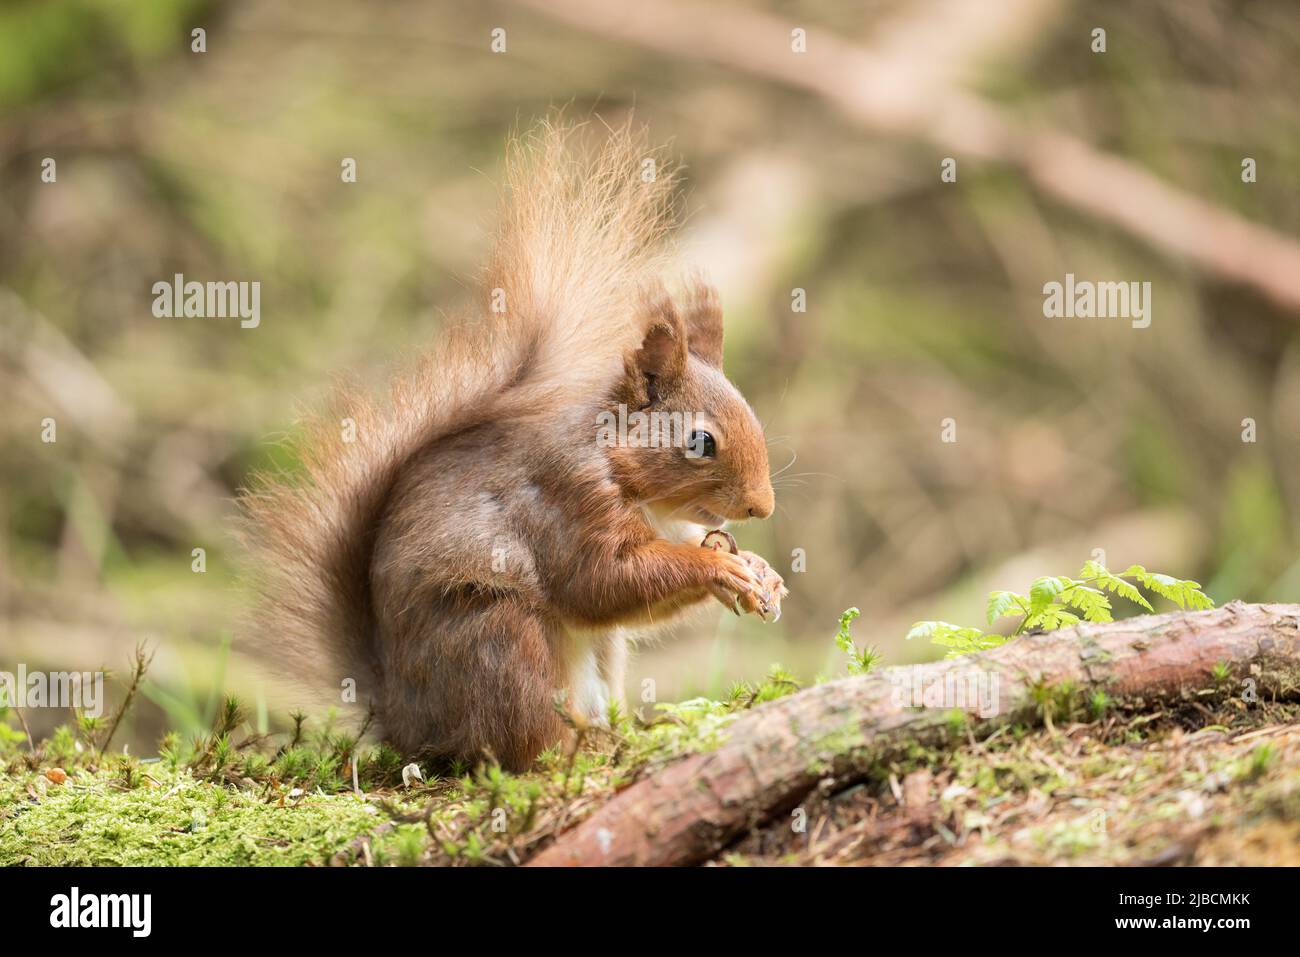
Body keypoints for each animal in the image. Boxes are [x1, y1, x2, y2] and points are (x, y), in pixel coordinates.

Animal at [239, 119, 786, 771]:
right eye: (701, 441)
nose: (762, 507)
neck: (616, 464)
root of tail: (406, 723)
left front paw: (760, 571)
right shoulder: (567, 500)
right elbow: (602, 581)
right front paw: (719, 568)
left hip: (600, 655)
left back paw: (610, 737)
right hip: (501, 640)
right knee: (517, 743)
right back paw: (573, 754)